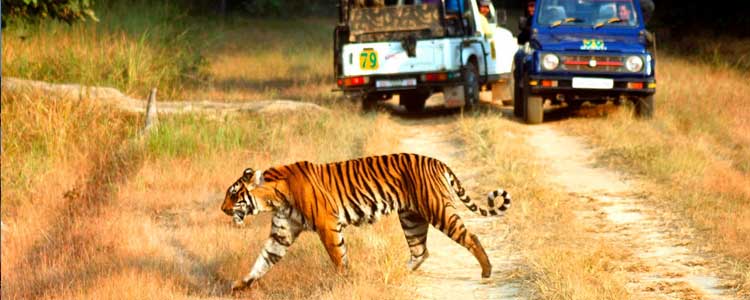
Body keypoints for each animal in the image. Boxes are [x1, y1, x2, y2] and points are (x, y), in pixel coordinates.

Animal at [219, 152, 512, 290]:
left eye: (233, 194)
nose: (222, 209)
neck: (274, 198)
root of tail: (438, 162)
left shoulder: (327, 225)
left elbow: (339, 257)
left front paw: (344, 281)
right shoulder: (282, 234)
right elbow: (263, 261)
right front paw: (240, 285)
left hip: (438, 210)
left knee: (470, 237)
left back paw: (487, 271)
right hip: (411, 218)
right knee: (420, 251)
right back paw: (393, 275)